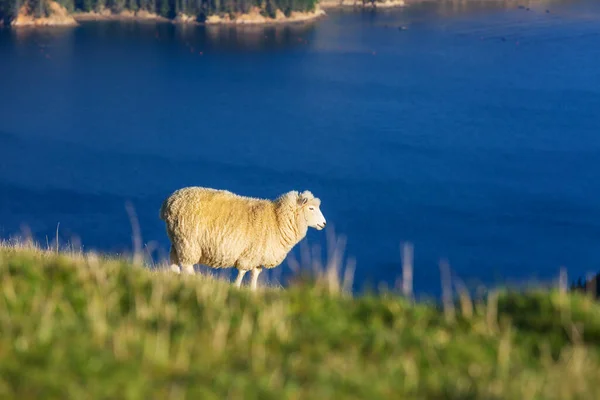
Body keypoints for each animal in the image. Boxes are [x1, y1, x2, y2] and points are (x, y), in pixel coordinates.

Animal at [159, 186, 326, 290]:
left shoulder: (259, 256)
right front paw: (236, 287)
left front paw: (252, 290)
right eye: (311, 208)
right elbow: (242, 272)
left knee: (174, 258)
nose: (324, 224)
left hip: (177, 237)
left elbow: (255, 274)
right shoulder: (249, 254)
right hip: (189, 240)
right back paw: (196, 280)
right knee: (187, 264)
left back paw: (174, 275)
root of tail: (170, 201)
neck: (277, 219)